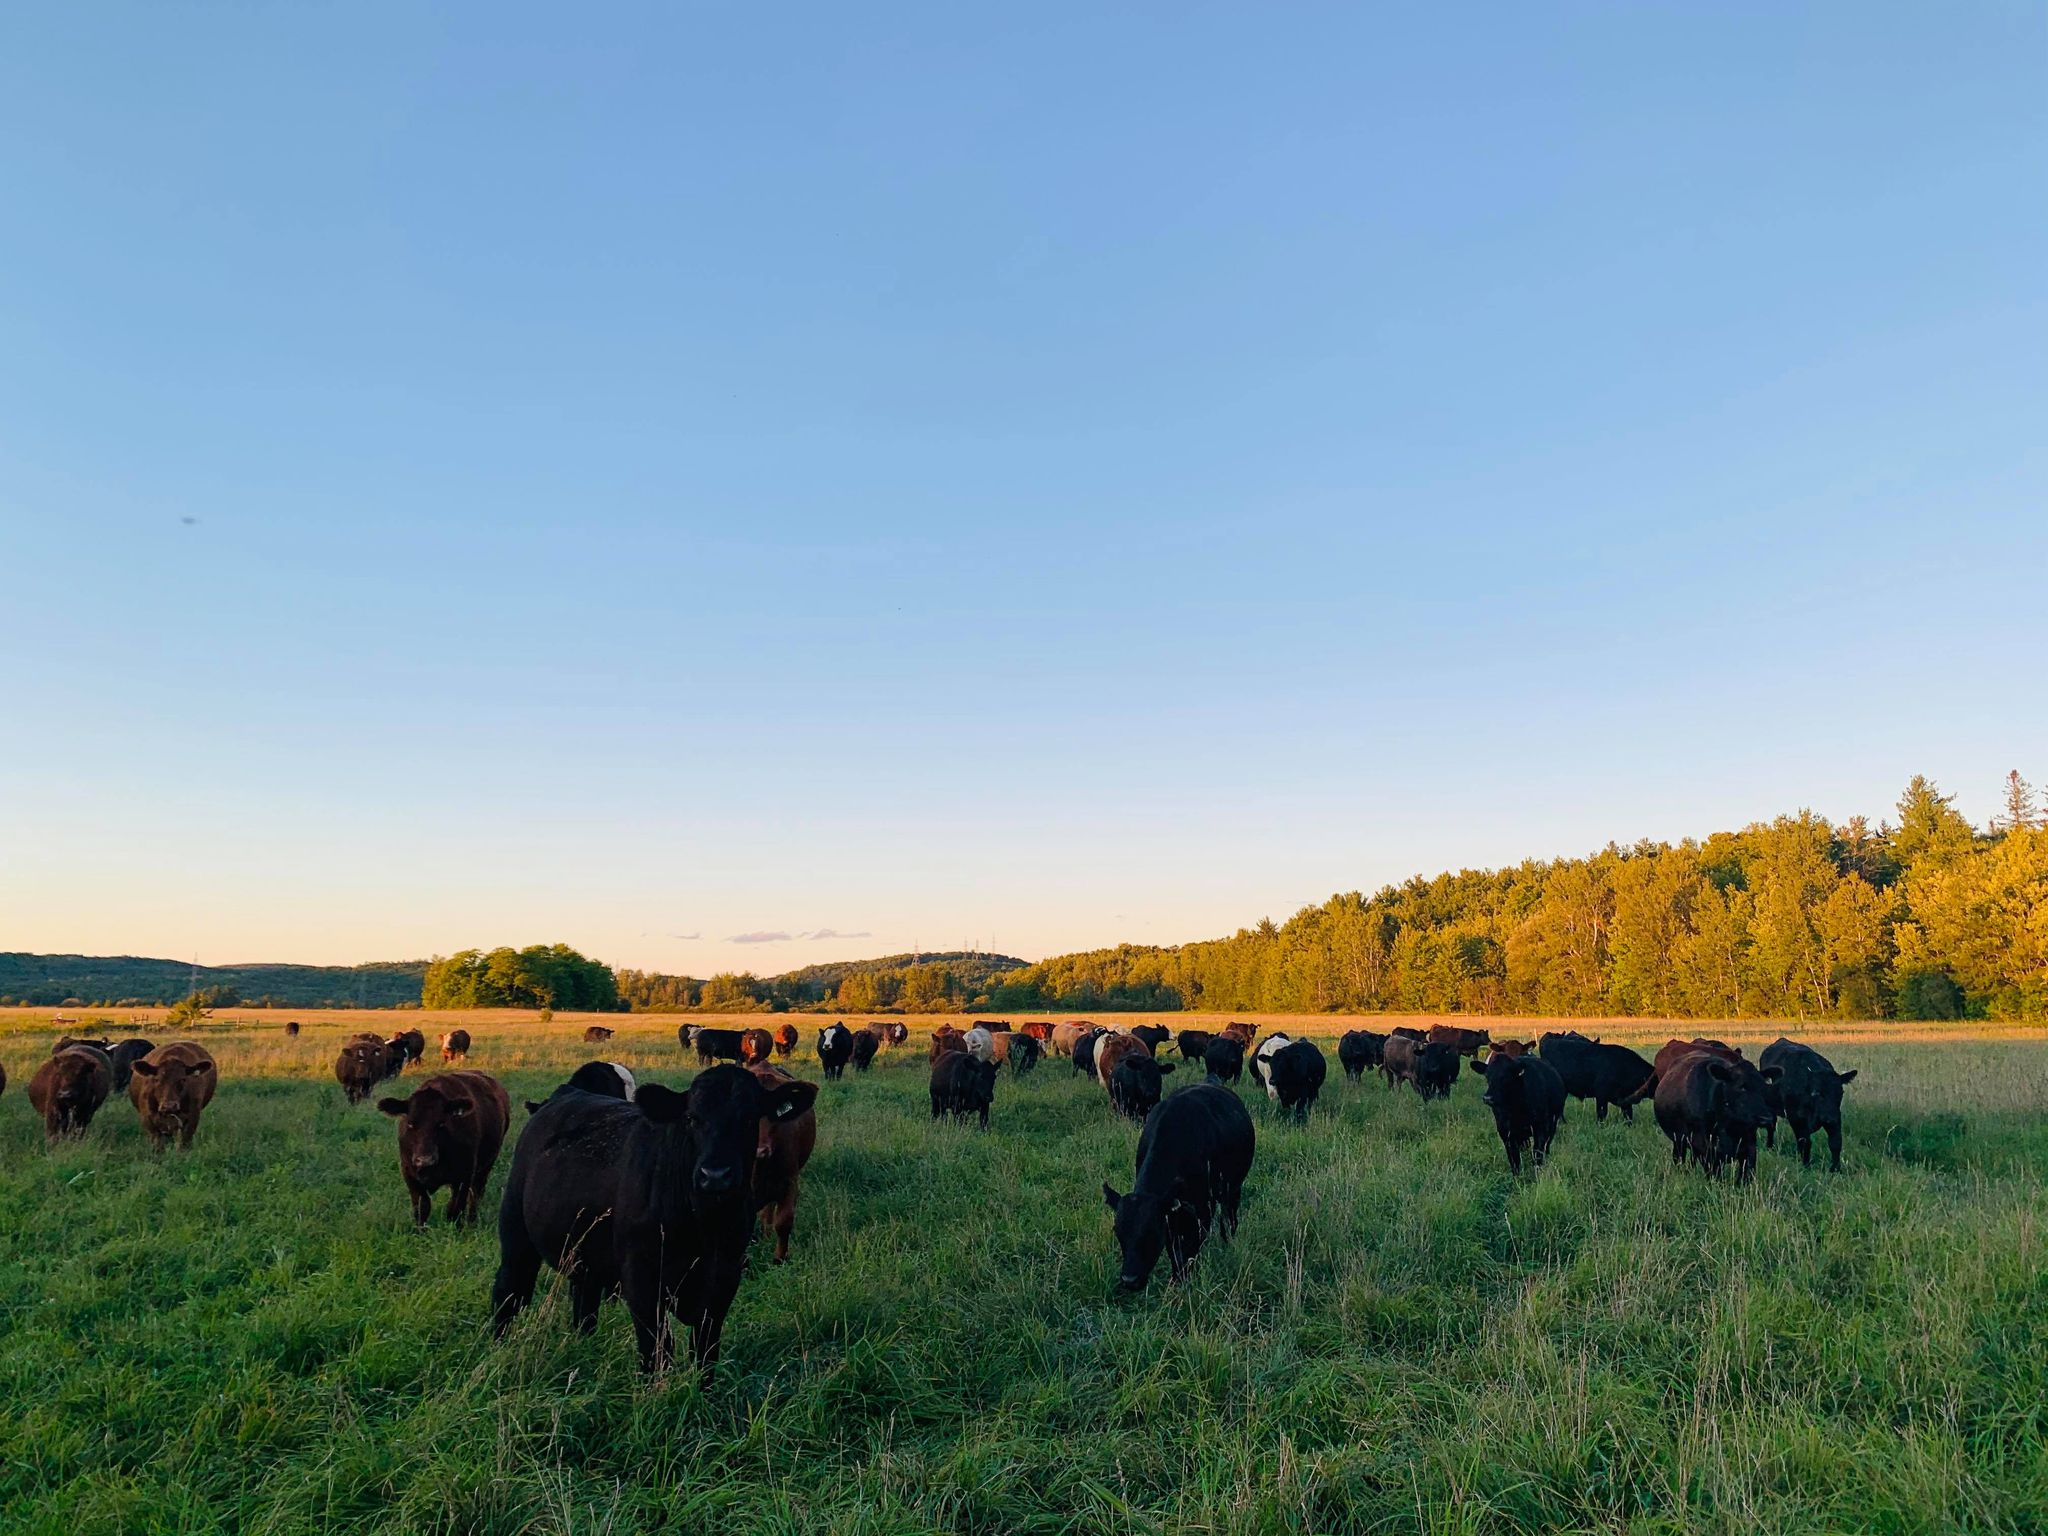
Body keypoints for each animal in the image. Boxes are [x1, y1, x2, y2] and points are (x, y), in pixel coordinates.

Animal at [379, 1069, 511, 1226]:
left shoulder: (464, 1175)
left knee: (476, 1194)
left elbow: (455, 1209)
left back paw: (472, 1222)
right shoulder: (410, 1175)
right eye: (410, 1124)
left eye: (441, 1123)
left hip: (486, 1166)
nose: (425, 1159)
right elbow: (422, 1208)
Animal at [1102, 1083, 1254, 1291]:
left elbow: (1190, 1248)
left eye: (1151, 1233)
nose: (1129, 1280)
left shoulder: (1203, 1208)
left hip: (1233, 1189)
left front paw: (1182, 1279)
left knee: (1229, 1219)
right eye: (1118, 1232)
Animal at [1654, 1052, 1780, 1182]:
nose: (1766, 1118)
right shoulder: (1707, 1150)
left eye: (1764, 1087)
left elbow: (1745, 1176)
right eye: (1742, 1087)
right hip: (1679, 1140)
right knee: (1679, 1158)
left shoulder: (1749, 1147)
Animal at [1757, 1038, 1857, 1171]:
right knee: (1771, 1125)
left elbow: (1835, 1142)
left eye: (1840, 1092)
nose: (1829, 1118)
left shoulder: (1836, 1117)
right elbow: (1805, 1142)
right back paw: (1769, 1147)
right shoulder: (1796, 1118)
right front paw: (1806, 1165)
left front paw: (1835, 1169)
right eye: (1816, 1092)